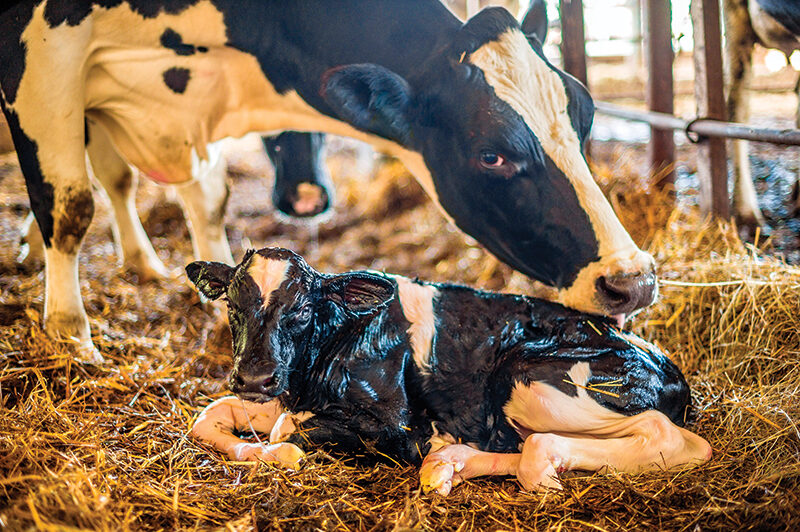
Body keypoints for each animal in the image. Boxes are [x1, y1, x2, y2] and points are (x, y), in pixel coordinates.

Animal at [0, 1, 656, 358]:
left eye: (585, 115)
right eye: (491, 155)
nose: (633, 281)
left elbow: (206, 198)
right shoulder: (45, 56)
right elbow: (70, 204)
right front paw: (68, 334)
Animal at [186, 247, 711, 494]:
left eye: (300, 310)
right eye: (231, 305)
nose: (255, 378)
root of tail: (671, 369)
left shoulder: (398, 427)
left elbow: (283, 432)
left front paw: (282, 454)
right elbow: (210, 415)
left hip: (529, 377)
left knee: (667, 438)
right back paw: (449, 464)